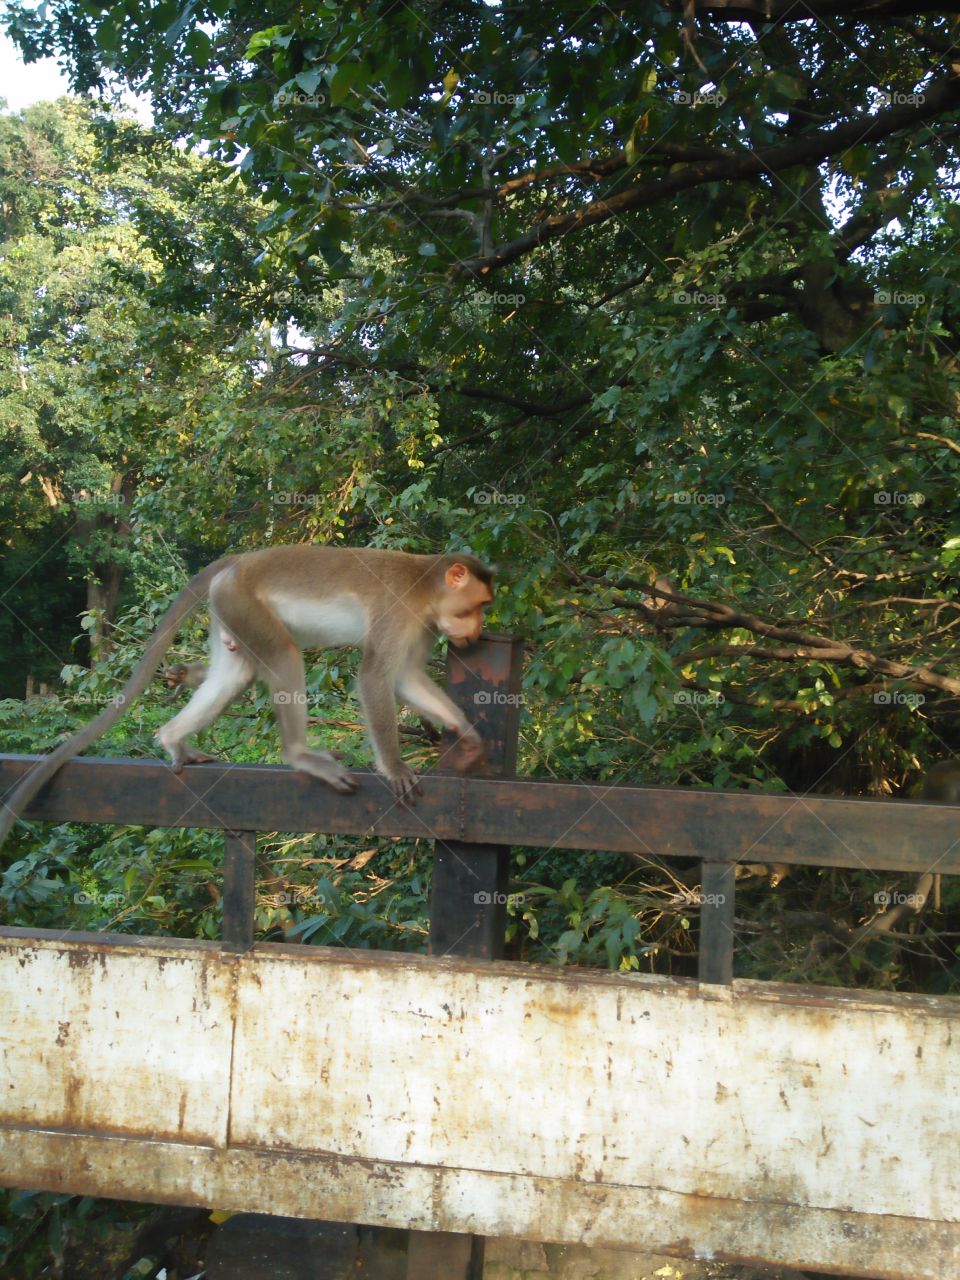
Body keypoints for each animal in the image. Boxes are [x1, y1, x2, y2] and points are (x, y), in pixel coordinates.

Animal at [0, 546, 494, 848]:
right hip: (243, 603)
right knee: (284, 657)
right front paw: (394, 767)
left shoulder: (423, 626)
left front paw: (468, 735)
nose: (478, 630)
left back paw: (172, 737)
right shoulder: (399, 610)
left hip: (229, 613)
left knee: (232, 675)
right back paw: (299, 755)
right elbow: (376, 678)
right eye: (479, 605)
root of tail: (237, 564)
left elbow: (406, 678)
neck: (425, 588)